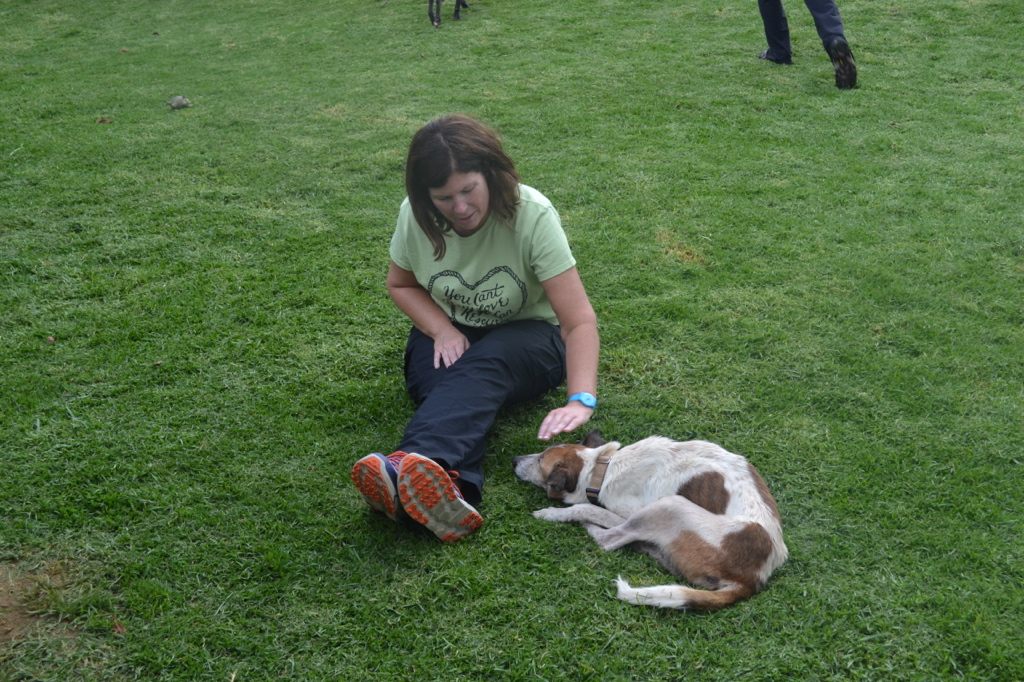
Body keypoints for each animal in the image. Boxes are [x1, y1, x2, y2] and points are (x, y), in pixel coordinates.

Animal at [513, 430, 787, 610]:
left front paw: (553, 513)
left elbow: (585, 508)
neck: (604, 467)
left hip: (670, 505)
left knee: (608, 540)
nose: (514, 459)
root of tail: (754, 578)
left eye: (540, 461)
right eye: (542, 452)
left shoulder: (623, 511)